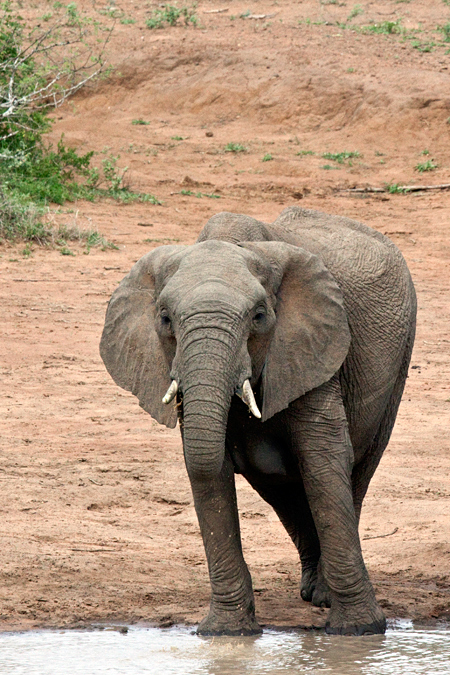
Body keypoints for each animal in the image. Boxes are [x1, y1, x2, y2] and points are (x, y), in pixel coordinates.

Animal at [100, 207, 416, 640]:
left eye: (260, 317)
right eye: (165, 319)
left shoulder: (312, 348)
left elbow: (323, 460)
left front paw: (359, 631)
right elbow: (208, 468)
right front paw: (224, 634)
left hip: (398, 362)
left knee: (354, 470)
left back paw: (323, 597)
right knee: (279, 484)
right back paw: (313, 590)